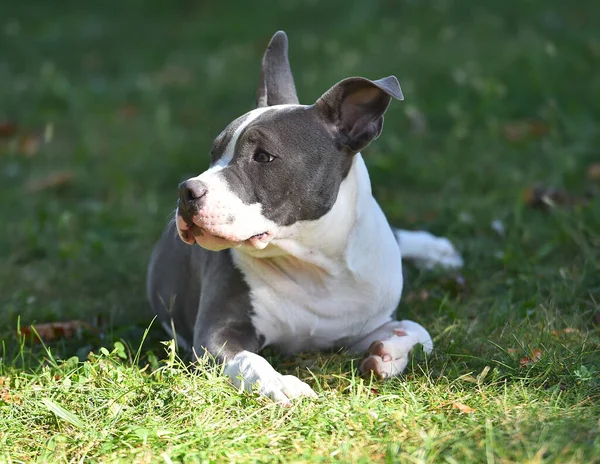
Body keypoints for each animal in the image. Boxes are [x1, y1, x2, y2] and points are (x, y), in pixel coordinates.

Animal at [146, 30, 464, 404]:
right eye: (213, 154)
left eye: (264, 156)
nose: (187, 191)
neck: (313, 265)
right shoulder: (215, 335)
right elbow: (250, 360)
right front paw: (280, 383)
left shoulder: (362, 323)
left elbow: (421, 331)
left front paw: (389, 353)